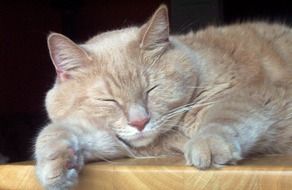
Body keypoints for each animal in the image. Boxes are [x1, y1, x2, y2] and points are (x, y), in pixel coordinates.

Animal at [34, 4, 292, 190]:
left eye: (152, 89)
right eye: (109, 101)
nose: (140, 122)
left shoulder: (255, 96)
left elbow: (226, 114)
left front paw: (207, 142)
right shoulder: (110, 139)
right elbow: (53, 132)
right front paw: (53, 164)